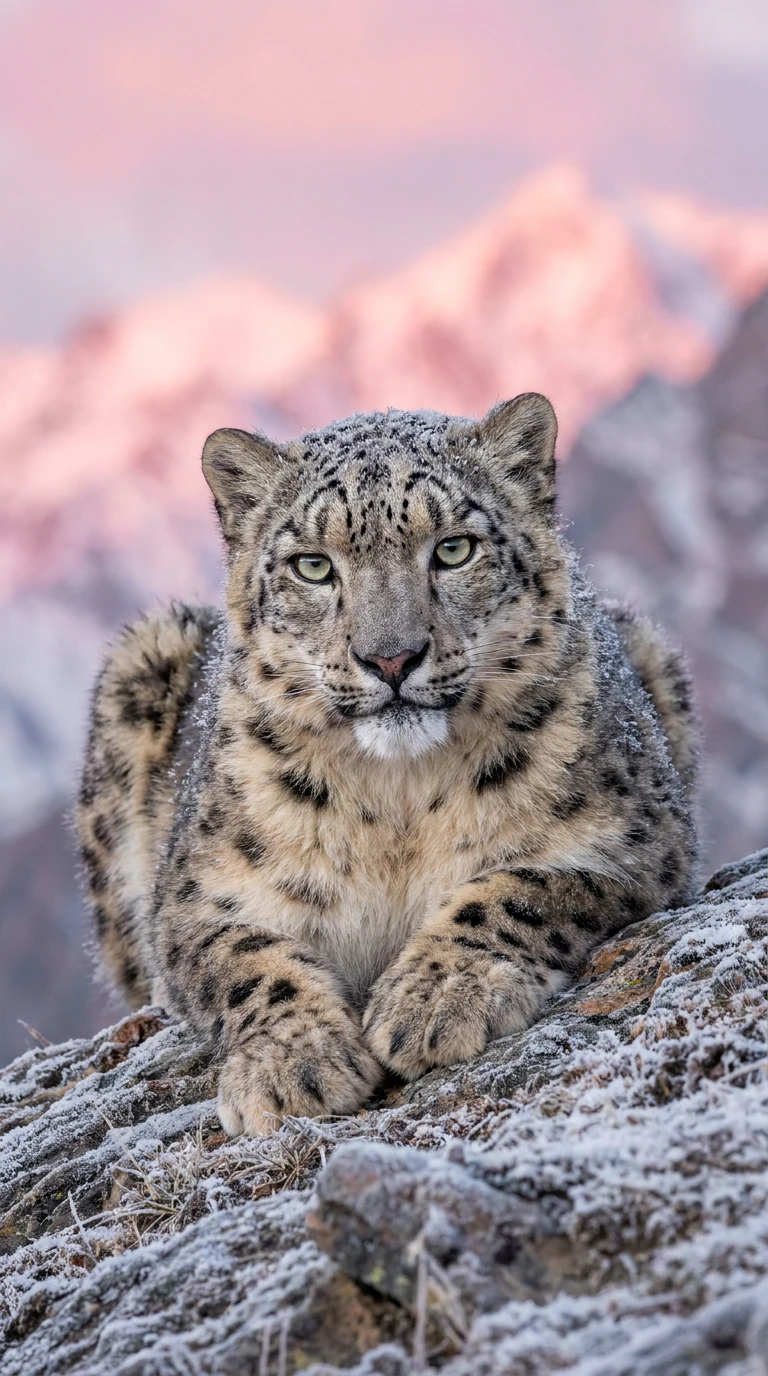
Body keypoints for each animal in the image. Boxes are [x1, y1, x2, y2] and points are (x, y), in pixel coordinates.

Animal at [77, 393, 699, 1135]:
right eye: (314, 566)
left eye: (454, 549)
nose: (392, 658)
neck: (397, 805)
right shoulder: (193, 898)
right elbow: (241, 960)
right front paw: (293, 1063)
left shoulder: (636, 838)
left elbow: (521, 888)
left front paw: (437, 999)